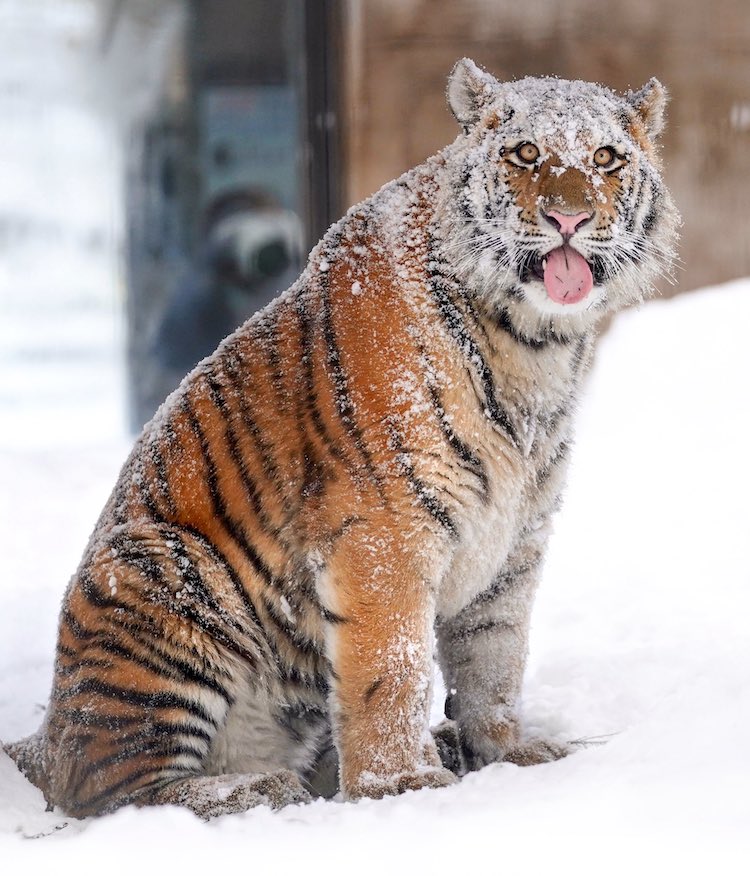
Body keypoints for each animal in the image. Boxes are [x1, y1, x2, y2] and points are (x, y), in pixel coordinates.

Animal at [2, 61, 680, 820]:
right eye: (525, 153)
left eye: (606, 158)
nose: (570, 219)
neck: (534, 344)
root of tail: (42, 739)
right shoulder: (386, 529)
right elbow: (392, 664)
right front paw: (403, 787)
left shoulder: (516, 538)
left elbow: (494, 659)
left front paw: (508, 754)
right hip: (166, 572)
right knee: (107, 788)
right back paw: (255, 788)